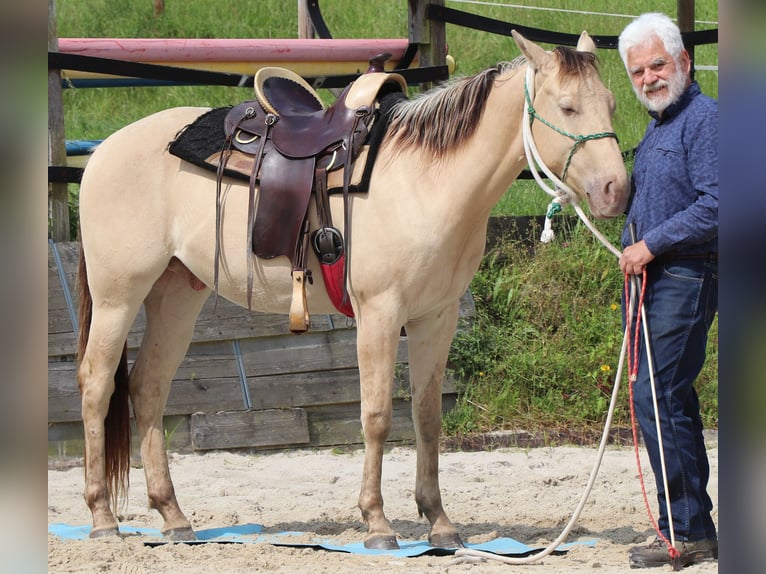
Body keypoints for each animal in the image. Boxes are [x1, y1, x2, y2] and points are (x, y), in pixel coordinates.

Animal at [75, 30, 628, 550]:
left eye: (611, 103)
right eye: (567, 107)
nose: (616, 190)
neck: (427, 180)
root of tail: (104, 150)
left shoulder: (437, 316)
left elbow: (428, 417)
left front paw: (440, 524)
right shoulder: (380, 313)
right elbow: (378, 416)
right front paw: (378, 523)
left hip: (176, 293)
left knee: (148, 387)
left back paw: (174, 518)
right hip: (117, 296)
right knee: (97, 385)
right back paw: (103, 519)